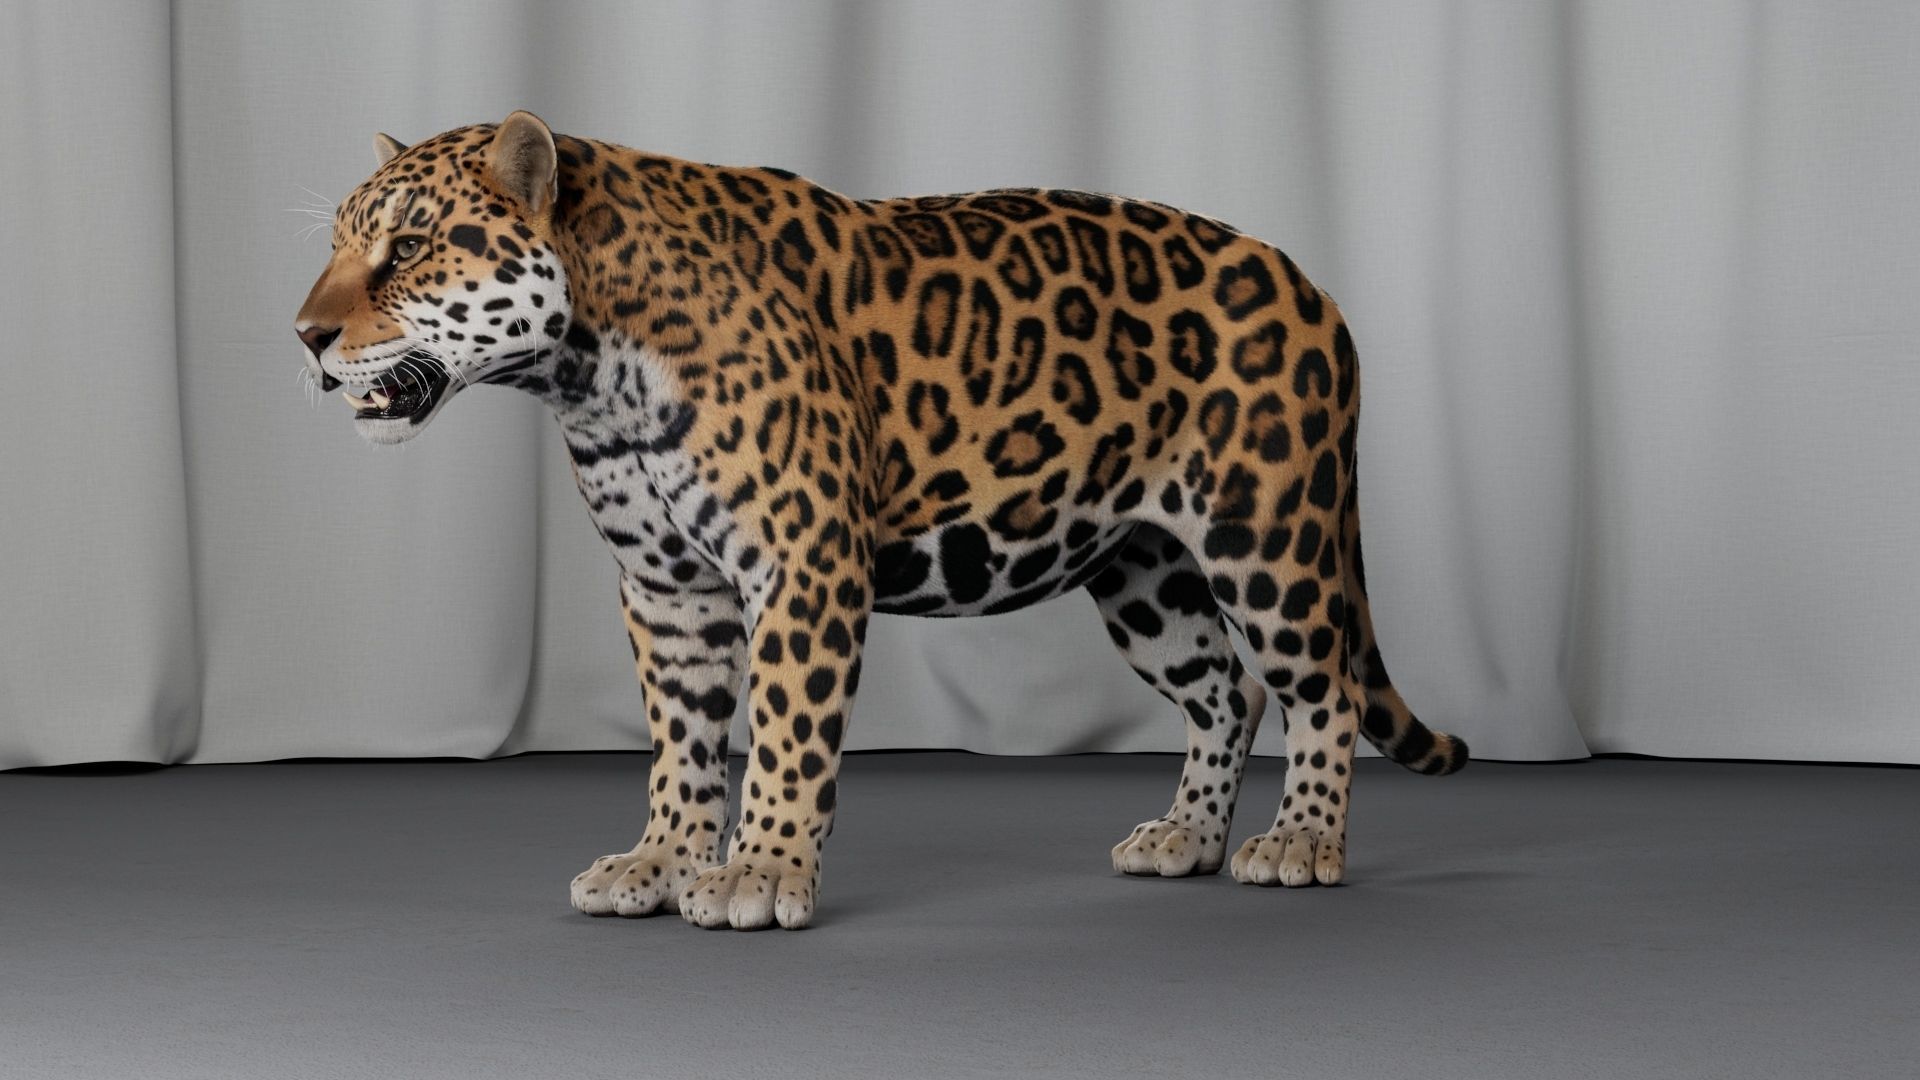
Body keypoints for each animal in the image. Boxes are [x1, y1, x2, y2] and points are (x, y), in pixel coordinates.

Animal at [294, 111, 1468, 931]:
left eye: (407, 249)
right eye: (344, 245)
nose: (303, 334)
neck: (586, 372)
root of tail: (1313, 286)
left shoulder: (800, 563)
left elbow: (784, 732)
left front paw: (760, 871)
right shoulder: (669, 591)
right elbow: (682, 741)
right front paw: (662, 862)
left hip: (1267, 538)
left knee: (1322, 688)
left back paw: (1299, 844)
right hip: (1141, 571)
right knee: (1227, 691)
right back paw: (1185, 836)